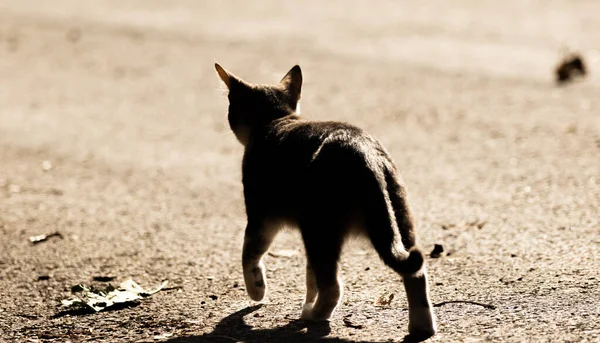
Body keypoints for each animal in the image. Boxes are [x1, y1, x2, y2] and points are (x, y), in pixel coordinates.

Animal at [214, 63, 436, 338]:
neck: (274, 120)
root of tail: (363, 152)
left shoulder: (260, 217)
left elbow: (249, 256)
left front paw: (257, 291)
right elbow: (311, 277)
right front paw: (307, 298)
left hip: (319, 227)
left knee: (333, 287)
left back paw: (315, 316)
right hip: (398, 217)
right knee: (415, 273)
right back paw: (421, 327)